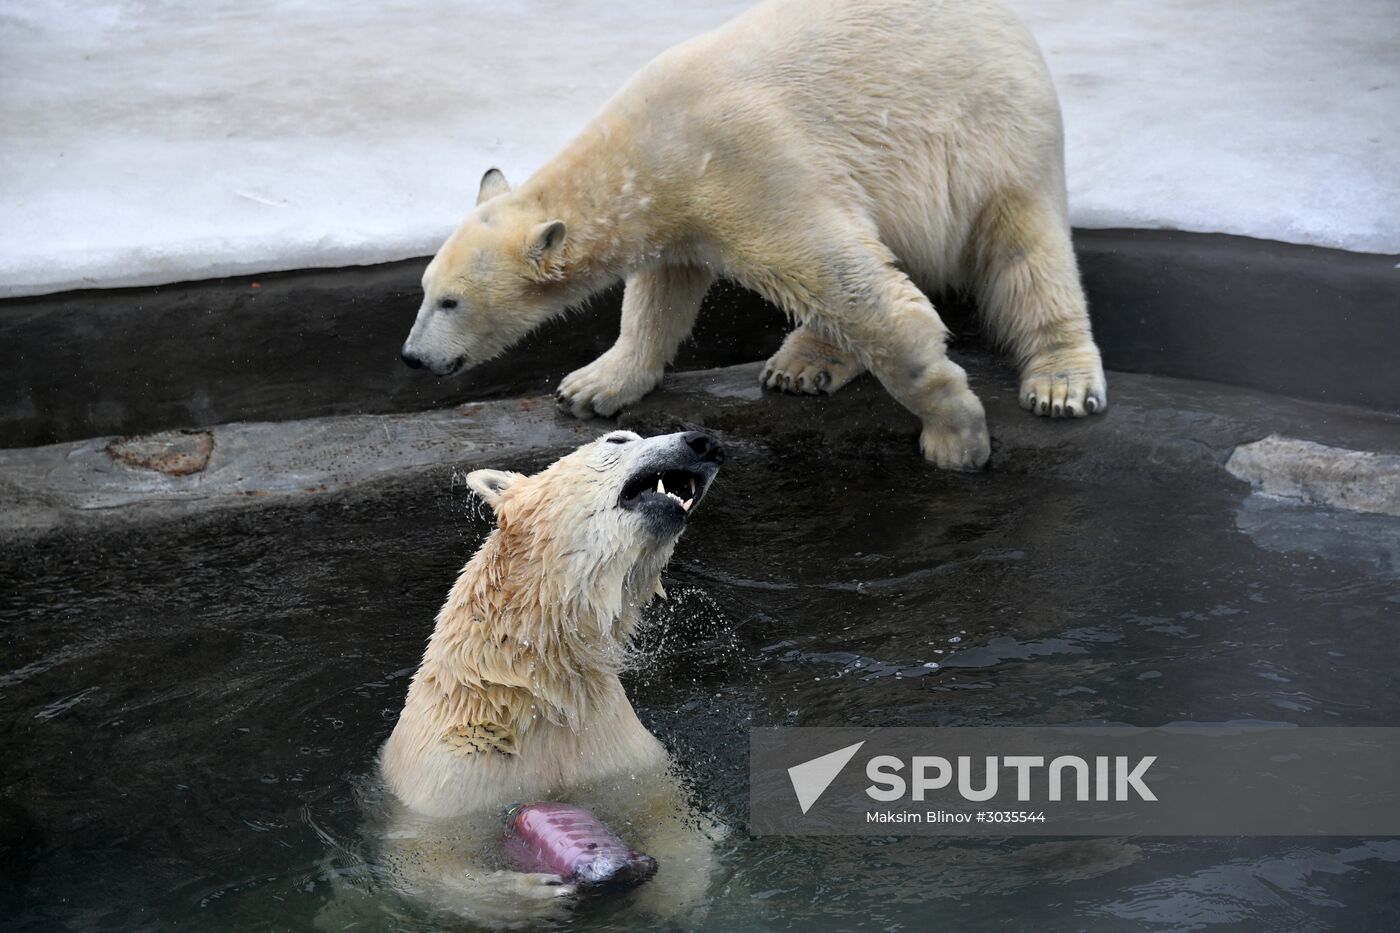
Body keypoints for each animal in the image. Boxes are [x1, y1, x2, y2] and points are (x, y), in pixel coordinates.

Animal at [378, 431, 728, 924]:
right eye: (618, 439)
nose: (704, 443)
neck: (538, 687)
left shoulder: (615, 749)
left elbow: (671, 812)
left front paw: (672, 892)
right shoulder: (447, 782)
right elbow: (424, 866)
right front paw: (540, 889)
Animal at [403, 0, 1103, 465]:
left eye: (451, 302)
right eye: (425, 290)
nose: (413, 357)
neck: (654, 146)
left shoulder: (749, 165)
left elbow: (859, 291)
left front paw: (957, 435)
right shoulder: (677, 216)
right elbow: (658, 298)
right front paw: (590, 387)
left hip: (995, 140)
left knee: (1026, 255)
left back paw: (1060, 384)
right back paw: (804, 362)